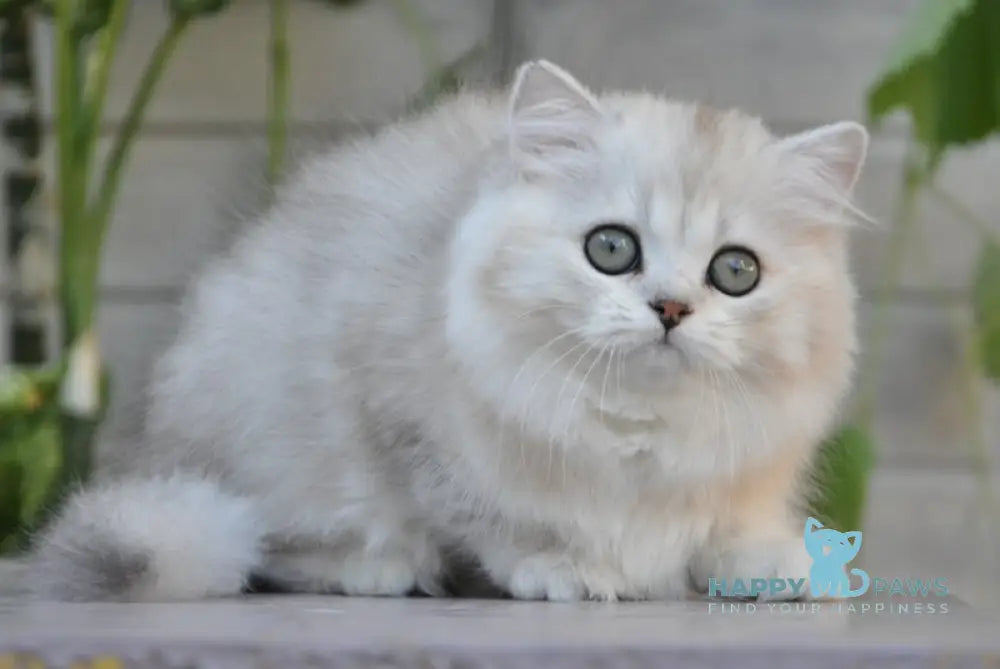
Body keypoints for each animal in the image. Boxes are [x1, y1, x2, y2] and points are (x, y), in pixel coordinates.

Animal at [29, 61, 868, 600]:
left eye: (735, 271)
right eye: (611, 248)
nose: (669, 309)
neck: (641, 425)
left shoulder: (753, 466)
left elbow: (734, 522)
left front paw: (775, 565)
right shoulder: (407, 428)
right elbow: (496, 521)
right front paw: (566, 567)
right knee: (268, 543)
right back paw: (378, 566)